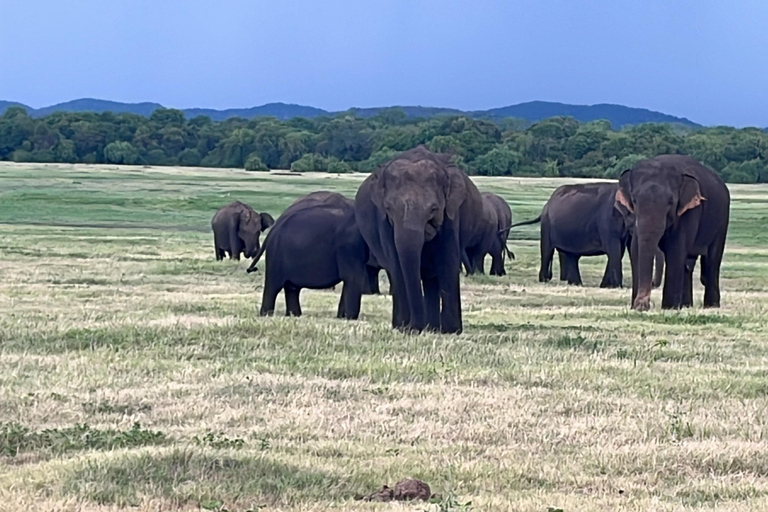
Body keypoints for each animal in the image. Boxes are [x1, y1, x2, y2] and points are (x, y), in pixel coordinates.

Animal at [248, 192, 380, 320]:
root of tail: (275, 227)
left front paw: (343, 317)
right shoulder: (350, 245)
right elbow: (352, 277)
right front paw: (350, 318)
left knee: (291, 287)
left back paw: (294, 315)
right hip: (276, 255)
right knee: (274, 286)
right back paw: (267, 315)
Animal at [612, 154, 732, 310]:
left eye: (671, 202)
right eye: (634, 200)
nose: (643, 305)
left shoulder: (690, 212)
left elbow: (676, 249)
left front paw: (669, 307)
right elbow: (636, 249)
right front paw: (636, 307)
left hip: (722, 221)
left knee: (712, 261)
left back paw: (711, 306)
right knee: (688, 264)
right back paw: (686, 305)